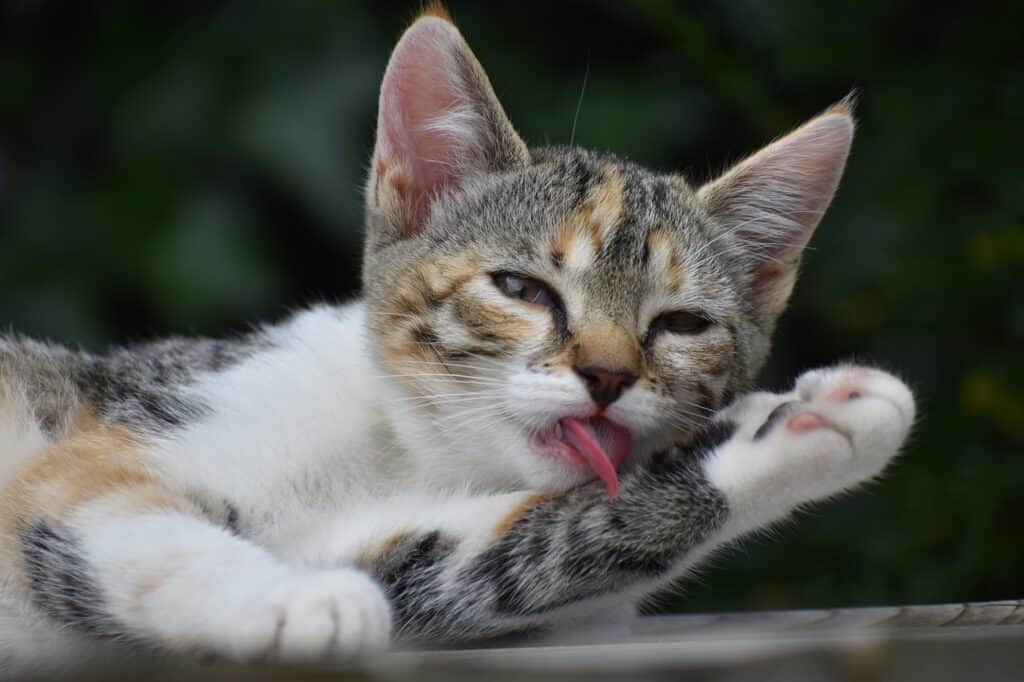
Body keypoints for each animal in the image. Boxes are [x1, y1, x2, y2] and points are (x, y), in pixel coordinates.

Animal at [0, 5, 913, 675]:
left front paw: (804, 426)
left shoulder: (389, 558)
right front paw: (292, 599)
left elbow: (521, 554)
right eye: (521, 290)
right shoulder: (101, 451)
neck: (402, 447)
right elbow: (141, 525)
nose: (607, 375)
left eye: (680, 324)